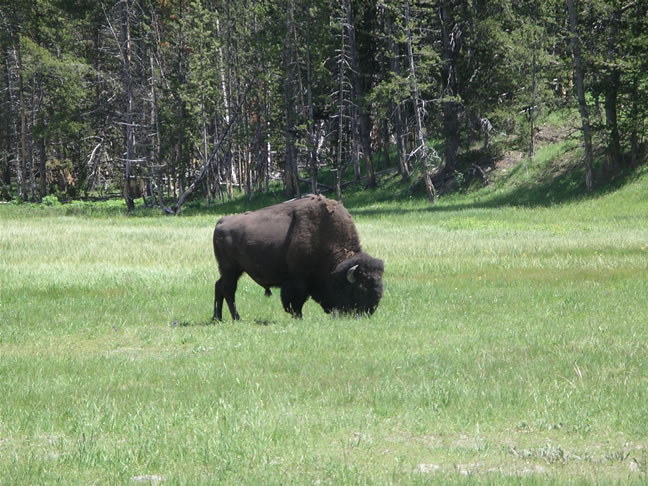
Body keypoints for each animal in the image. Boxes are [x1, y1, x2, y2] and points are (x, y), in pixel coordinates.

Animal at [212, 195, 384, 320]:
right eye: (361, 288)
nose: (369, 312)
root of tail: (221, 221)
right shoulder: (297, 279)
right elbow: (295, 300)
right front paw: (298, 317)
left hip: (231, 271)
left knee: (219, 286)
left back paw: (217, 318)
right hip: (230, 269)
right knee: (228, 290)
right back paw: (236, 317)